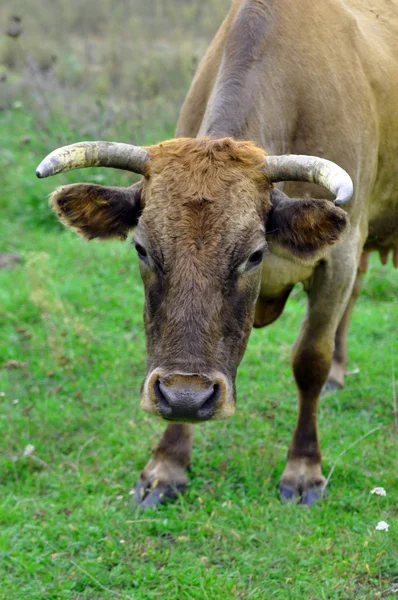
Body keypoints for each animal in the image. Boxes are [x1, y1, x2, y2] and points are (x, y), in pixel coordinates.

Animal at [35, 0, 396, 506]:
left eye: (254, 254)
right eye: (142, 248)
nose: (186, 394)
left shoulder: (337, 258)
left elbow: (310, 360)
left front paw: (303, 470)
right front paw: (167, 466)